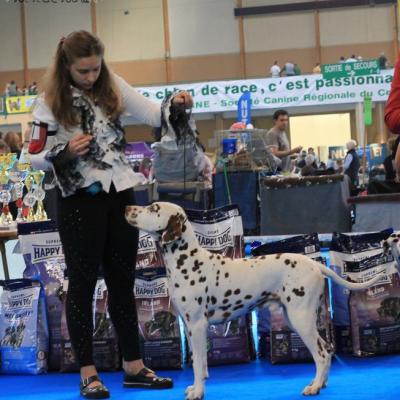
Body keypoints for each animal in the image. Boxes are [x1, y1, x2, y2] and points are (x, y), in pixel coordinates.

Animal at [126, 205, 382, 398]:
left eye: (153, 208)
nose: (128, 207)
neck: (187, 261)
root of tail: (315, 264)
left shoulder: (197, 325)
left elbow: (198, 365)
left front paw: (198, 392)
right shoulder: (189, 327)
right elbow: (201, 363)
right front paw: (195, 387)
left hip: (301, 320)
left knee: (320, 354)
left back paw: (315, 387)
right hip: (298, 319)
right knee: (326, 350)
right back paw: (321, 383)